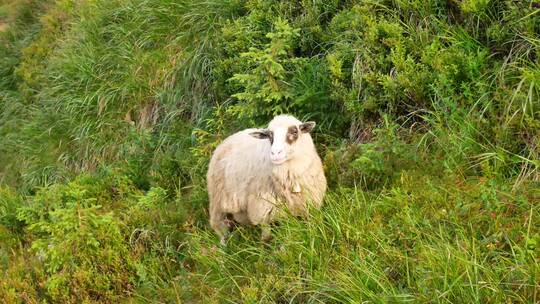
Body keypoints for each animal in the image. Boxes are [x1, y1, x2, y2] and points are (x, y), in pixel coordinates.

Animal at [206, 114, 324, 245]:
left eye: (294, 131)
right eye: (269, 135)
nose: (275, 153)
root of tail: (228, 138)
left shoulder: (307, 204)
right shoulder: (262, 206)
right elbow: (266, 236)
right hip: (218, 200)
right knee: (220, 226)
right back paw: (224, 245)